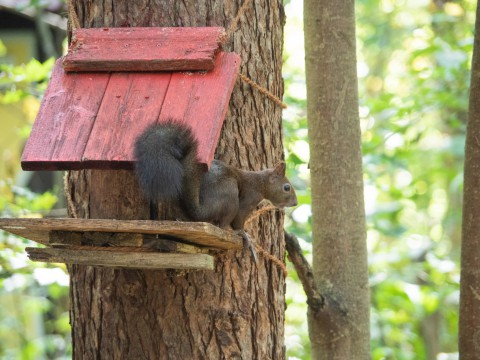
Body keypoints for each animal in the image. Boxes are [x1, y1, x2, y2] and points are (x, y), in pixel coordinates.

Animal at [132, 121, 296, 256]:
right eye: (286, 187)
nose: (295, 203)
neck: (261, 183)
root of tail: (202, 210)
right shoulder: (249, 198)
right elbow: (239, 221)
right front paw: (244, 234)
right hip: (230, 194)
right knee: (223, 225)